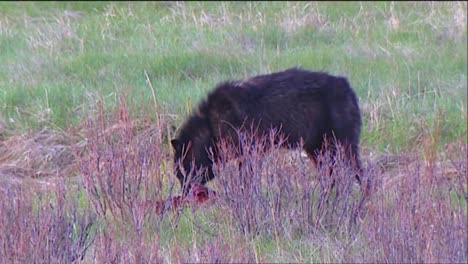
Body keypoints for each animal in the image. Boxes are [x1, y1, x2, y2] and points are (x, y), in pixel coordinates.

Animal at [171, 67, 362, 194]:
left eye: (181, 173)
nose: (184, 195)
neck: (210, 125)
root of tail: (348, 88)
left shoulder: (251, 154)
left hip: (342, 150)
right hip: (318, 152)